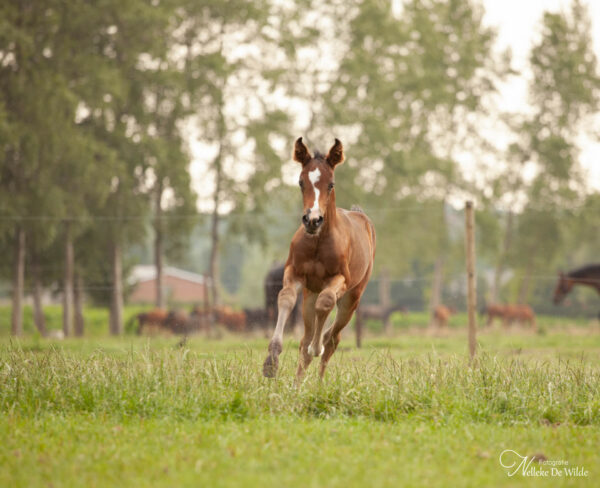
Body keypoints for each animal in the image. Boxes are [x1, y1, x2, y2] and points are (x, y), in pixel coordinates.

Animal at [262, 137, 376, 382]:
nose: (312, 220)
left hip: (352, 298)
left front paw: (317, 347)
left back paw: (319, 382)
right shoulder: (293, 273)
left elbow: (326, 303)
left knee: (332, 339)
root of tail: (361, 216)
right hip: (308, 295)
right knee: (305, 340)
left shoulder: (340, 279)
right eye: (300, 182)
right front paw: (271, 362)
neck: (317, 243)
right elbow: (285, 298)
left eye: (331, 184)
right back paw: (297, 385)